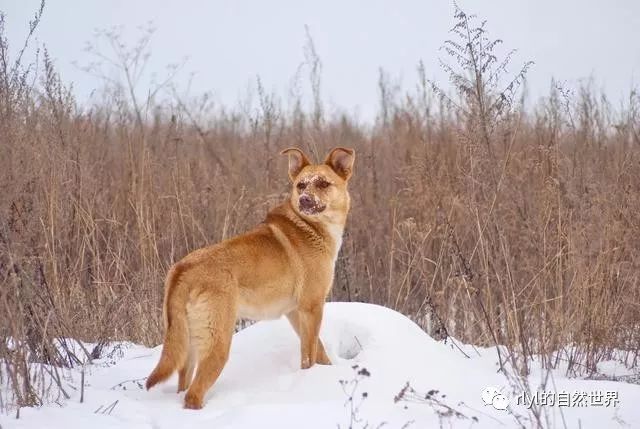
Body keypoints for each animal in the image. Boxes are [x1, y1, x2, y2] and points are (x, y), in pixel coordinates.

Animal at [145, 146, 356, 408]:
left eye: (323, 183)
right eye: (301, 185)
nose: (304, 200)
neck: (310, 226)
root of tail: (183, 269)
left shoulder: (296, 312)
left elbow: (319, 349)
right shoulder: (312, 307)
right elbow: (308, 354)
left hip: (187, 344)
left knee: (183, 384)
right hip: (218, 342)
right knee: (194, 394)